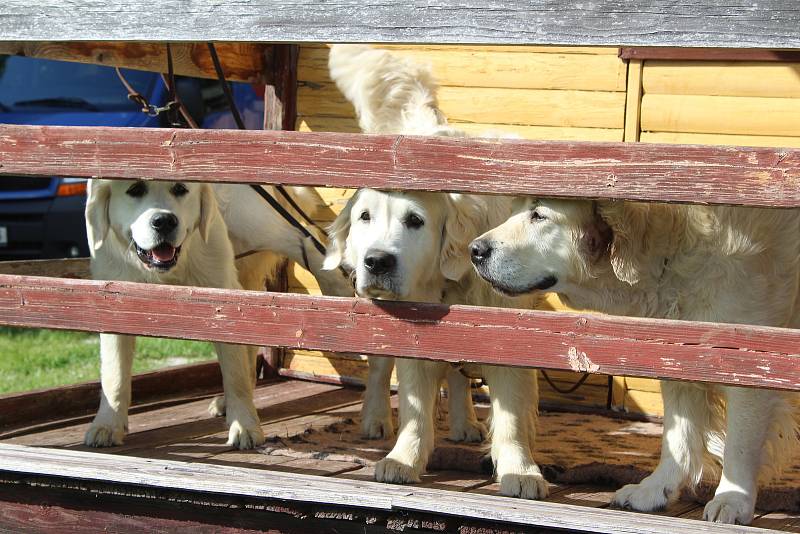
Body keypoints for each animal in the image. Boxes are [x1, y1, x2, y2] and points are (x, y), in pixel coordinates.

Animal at [83, 181, 354, 452]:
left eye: (180, 189)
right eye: (135, 190)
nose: (164, 221)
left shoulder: (223, 294)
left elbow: (234, 373)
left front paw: (244, 426)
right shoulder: (111, 300)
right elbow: (115, 373)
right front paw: (107, 425)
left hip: (253, 224)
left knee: (303, 236)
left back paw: (334, 285)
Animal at [324, 46, 552, 502]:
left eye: (415, 221)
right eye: (365, 217)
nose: (377, 261)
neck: (453, 281)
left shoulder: (509, 341)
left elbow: (511, 419)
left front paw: (520, 471)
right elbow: (414, 407)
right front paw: (402, 460)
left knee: (458, 377)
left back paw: (465, 424)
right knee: (380, 368)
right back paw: (375, 418)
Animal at [468, 197, 800, 524]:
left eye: (539, 215)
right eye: (513, 210)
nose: (475, 250)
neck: (676, 244)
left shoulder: (751, 360)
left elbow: (740, 445)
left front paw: (732, 500)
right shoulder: (683, 350)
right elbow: (679, 436)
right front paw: (655, 491)